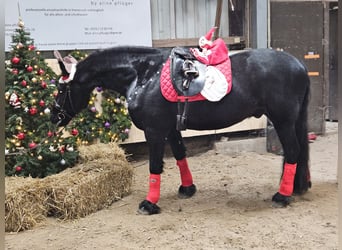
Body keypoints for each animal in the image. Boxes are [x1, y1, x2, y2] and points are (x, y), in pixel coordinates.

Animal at [50, 46, 310, 214]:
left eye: (62, 89)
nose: (54, 117)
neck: (144, 75)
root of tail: (299, 65)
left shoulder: (154, 131)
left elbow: (155, 166)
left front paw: (149, 203)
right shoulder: (170, 129)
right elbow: (180, 156)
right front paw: (187, 188)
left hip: (283, 121)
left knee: (293, 152)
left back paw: (282, 196)